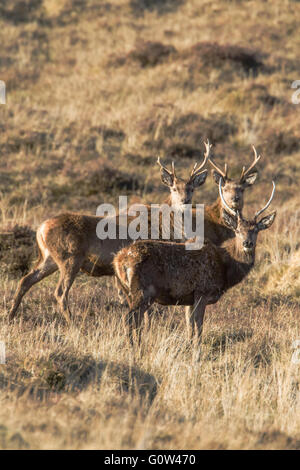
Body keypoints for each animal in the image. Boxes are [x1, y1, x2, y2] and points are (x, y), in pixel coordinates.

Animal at [8, 146, 211, 324]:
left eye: (192, 188)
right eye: (174, 188)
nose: (185, 201)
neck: (164, 226)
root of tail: (40, 229)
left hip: (49, 258)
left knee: (25, 280)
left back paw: (10, 316)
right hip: (70, 257)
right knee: (60, 292)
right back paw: (73, 323)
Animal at [113, 180, 276, 346]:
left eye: (256, 230)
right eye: (237, 230)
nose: (247, 243)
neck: (225, 268)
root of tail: (119, 261)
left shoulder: (189, 298)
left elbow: (190, 326)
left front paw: (189, 345)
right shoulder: (202, 291)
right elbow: (199, 326)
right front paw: (198, 349)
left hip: (128, 291)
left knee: (135, 321)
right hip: (142, 291)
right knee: (129, 318)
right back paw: (134, 348)